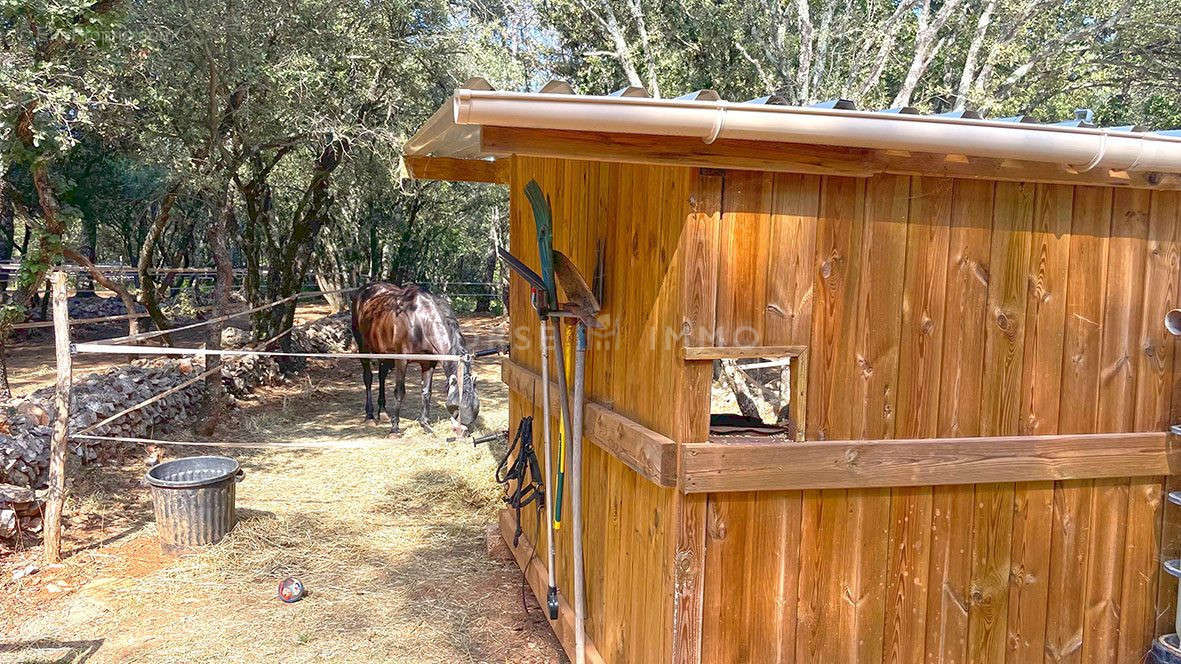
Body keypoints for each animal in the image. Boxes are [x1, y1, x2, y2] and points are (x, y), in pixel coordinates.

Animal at [349, 280, 479, 432]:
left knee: (382, 375)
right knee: (368, 378)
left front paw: (425, 424)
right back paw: (370, 415)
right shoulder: (401, 361)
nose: (464, 432)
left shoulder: (428, 363)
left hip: (385, 353)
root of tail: (362, 291)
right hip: (363, 347)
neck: (421, 322)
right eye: (458, 407)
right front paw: (395, 428)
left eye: (476, 408)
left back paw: (383, 411)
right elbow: (399, 392)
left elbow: (426, 391)